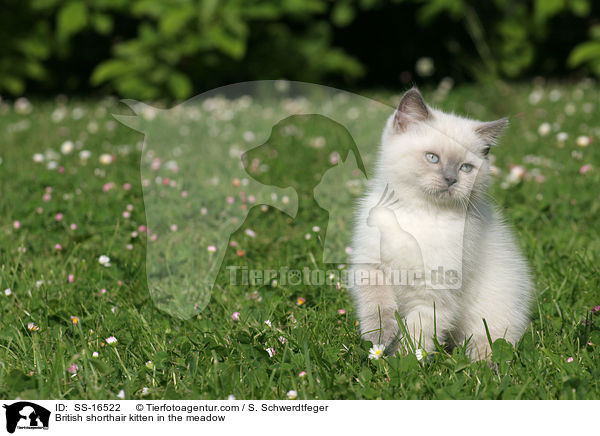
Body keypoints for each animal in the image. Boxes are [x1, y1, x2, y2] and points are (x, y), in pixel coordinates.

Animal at [350, 87, 532, 360]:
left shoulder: (435, 292)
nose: (451, 179)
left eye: (465, 167)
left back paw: (484, 364)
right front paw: (380, 337)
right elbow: (378, 305)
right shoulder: (371, 265)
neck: (421, 213)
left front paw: (401, 364)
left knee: (490, 342)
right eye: (432, 158)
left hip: (493, 312)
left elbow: (416, 335)